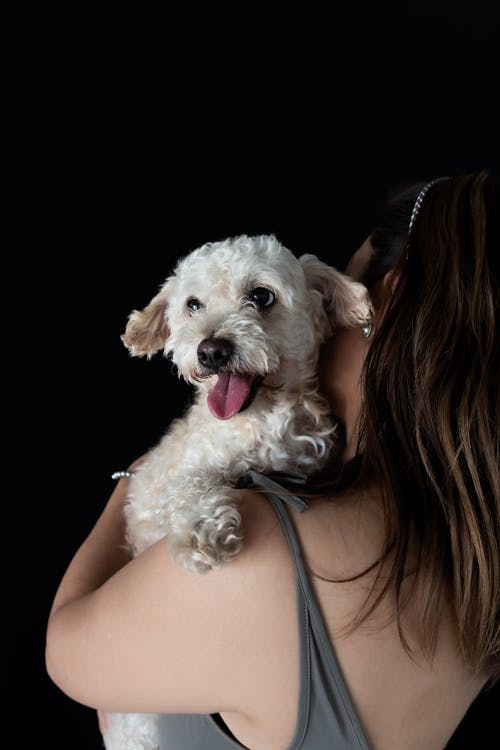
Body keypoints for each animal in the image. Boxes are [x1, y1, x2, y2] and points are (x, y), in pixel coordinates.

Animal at [103, 235, 372, 750]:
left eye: (261, 296)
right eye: (192, 304)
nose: (211, 350)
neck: (260, 425)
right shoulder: (176, 480)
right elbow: (187, 488)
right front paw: (202, 532)